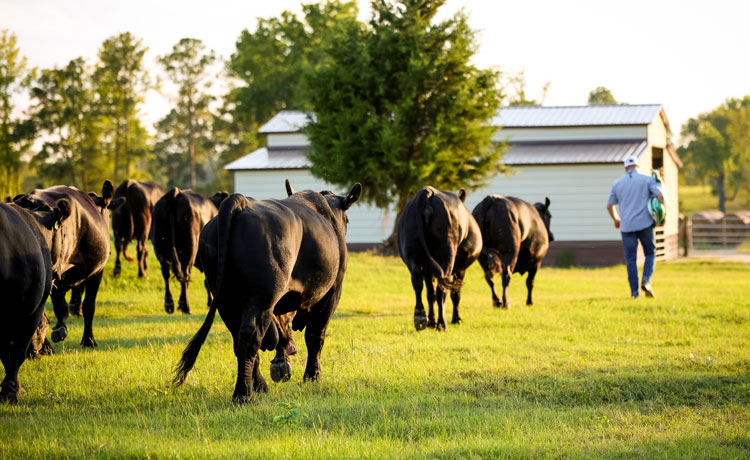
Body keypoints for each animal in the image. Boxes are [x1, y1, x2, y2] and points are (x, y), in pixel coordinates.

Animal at [177, 180, 364, 402]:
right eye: (348, 220)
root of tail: (240, 202)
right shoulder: (331, 294)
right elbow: (315, 336)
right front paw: (312, 377)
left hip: (226, 300)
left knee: (239, 339)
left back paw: (259, 385)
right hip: (263, 297)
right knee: (250, 337)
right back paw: (243, 395)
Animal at [400, 186, 482, 330]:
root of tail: (427, 192)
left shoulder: (428, 268)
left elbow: (430, 292)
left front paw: (431, 321)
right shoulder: (461, 268)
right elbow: (455, 293)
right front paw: (456, 319)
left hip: (411, 251)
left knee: (418, 281)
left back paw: (420, 318)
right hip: (447, 254)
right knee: (442, 288)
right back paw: (442, 323)